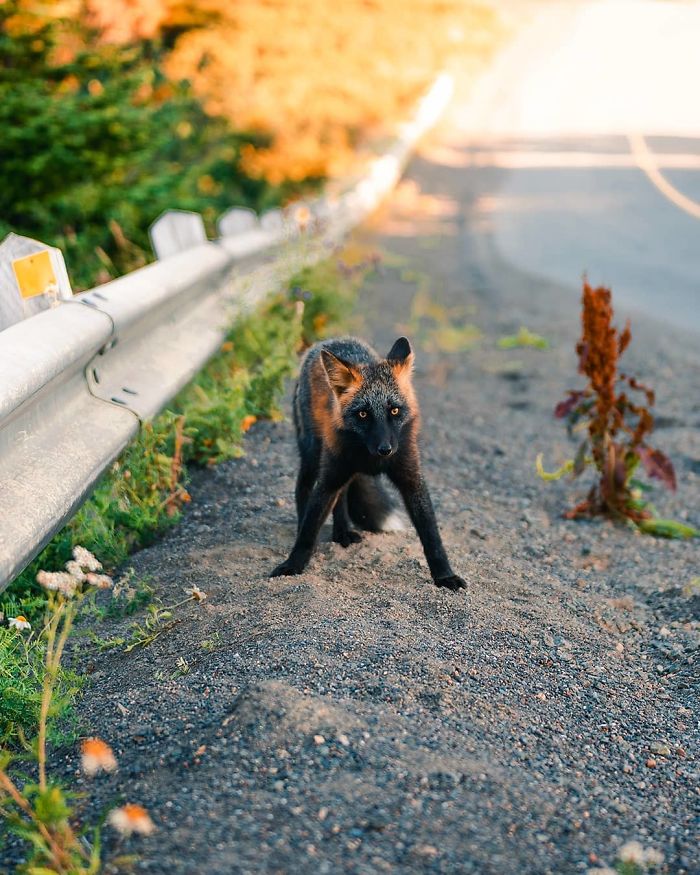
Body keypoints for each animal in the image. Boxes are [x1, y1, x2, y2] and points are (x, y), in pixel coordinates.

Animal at [270, 335, 466, 591]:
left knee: (342, 497)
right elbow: (309, 530)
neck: (372, 461)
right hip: (313, 455)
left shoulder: (411, 478)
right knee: (303, 490)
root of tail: (332, 340)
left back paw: (342, 533)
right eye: (363, 414)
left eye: (394, 411)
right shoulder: (331, 476)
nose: (385, 449)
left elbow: (431, 535)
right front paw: (292, 565)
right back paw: (312, 524)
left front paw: (444, 576)